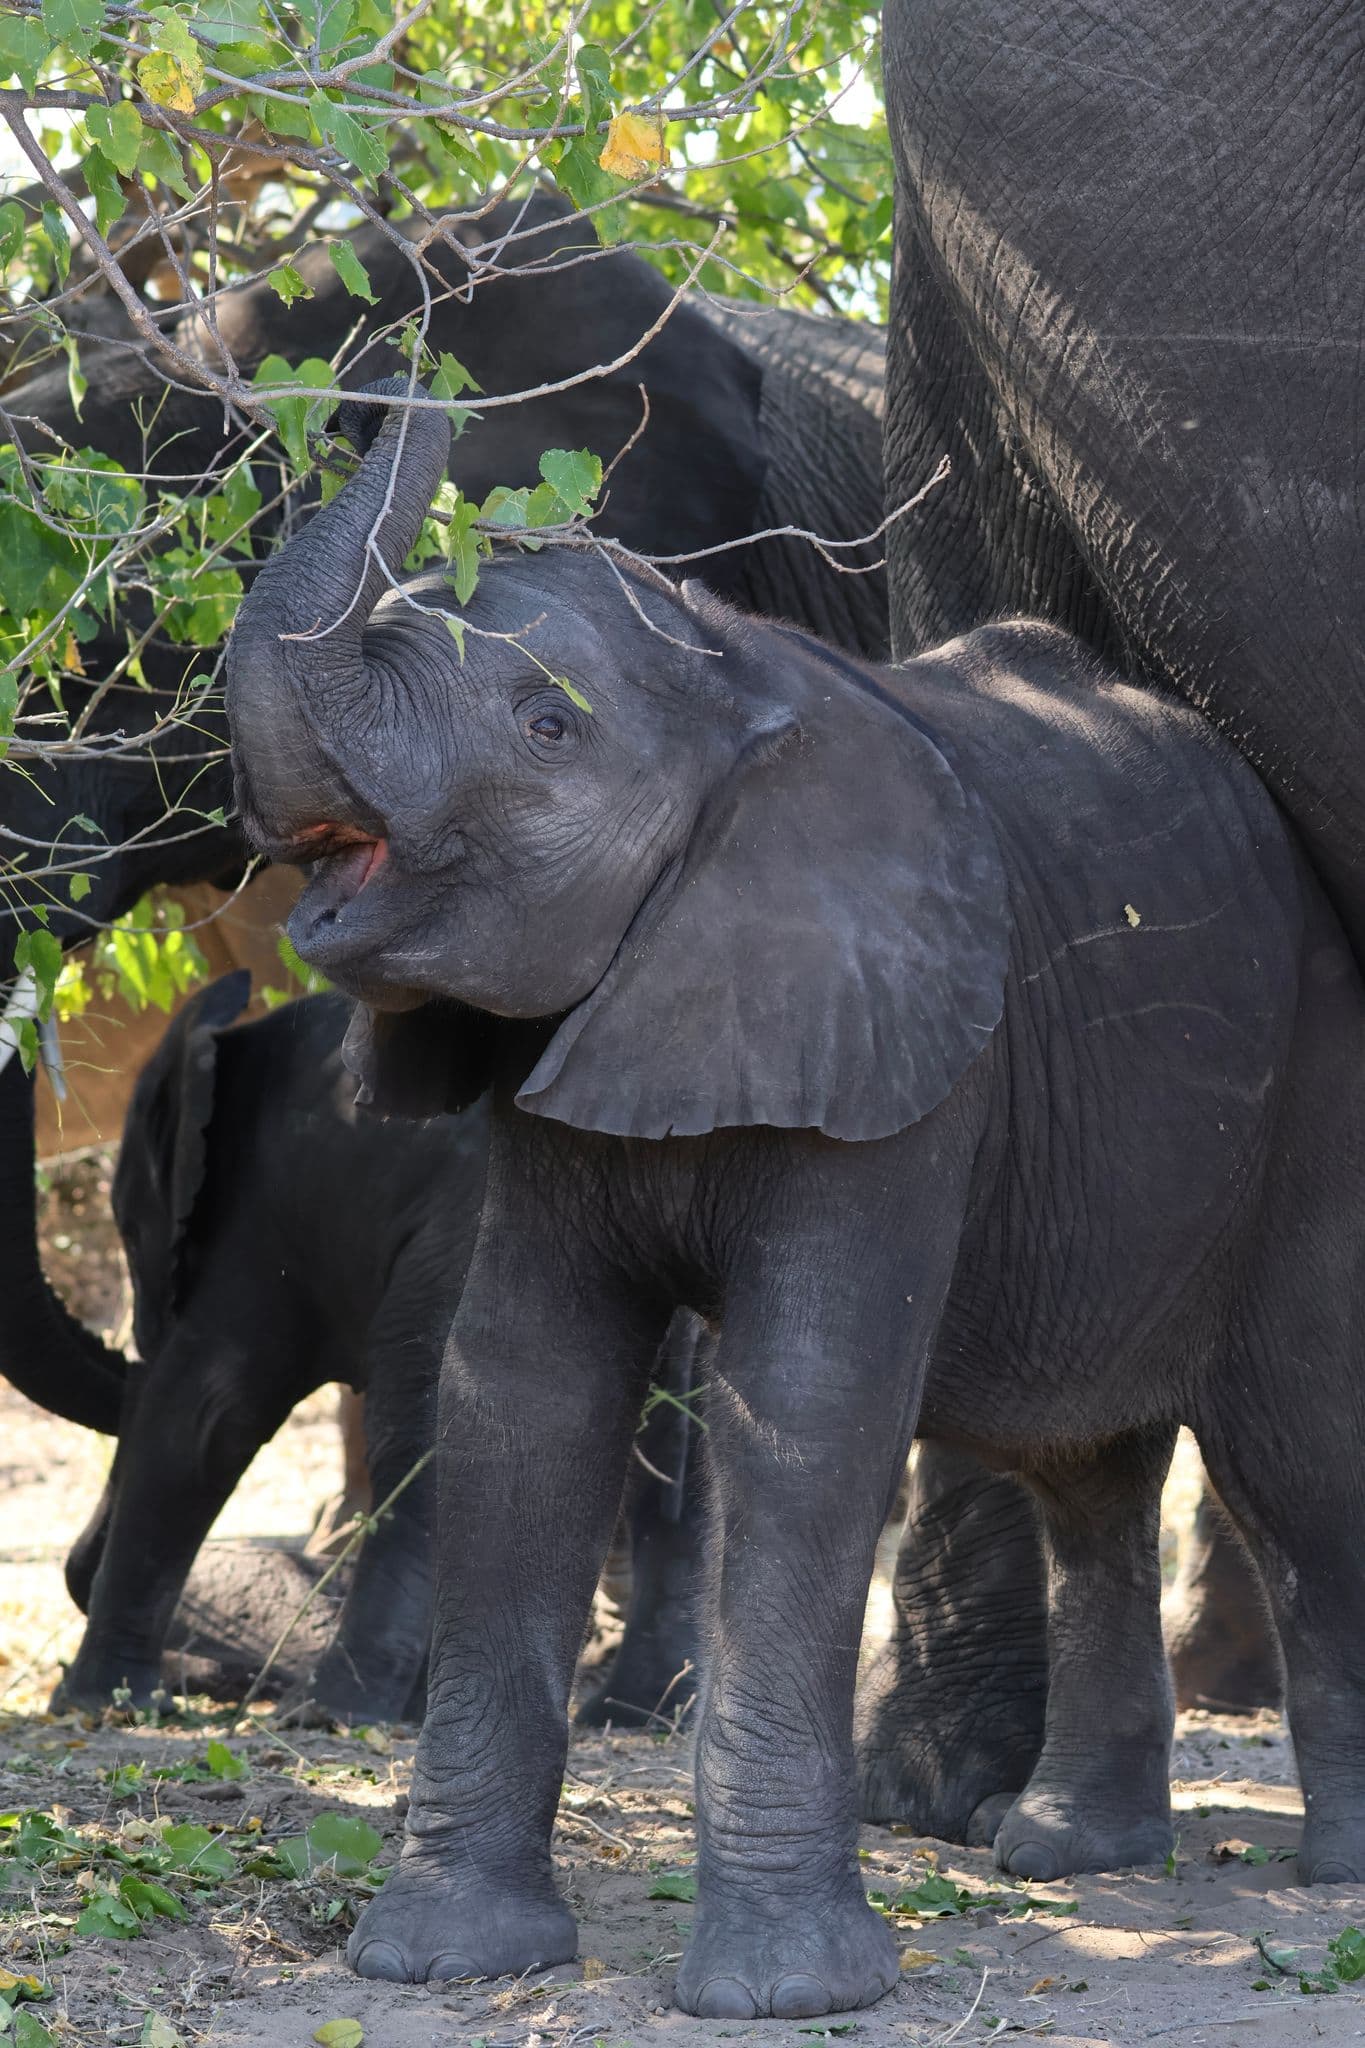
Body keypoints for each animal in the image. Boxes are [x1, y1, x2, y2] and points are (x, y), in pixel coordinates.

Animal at [57, 973, 704, 1728]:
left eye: (128, 1226)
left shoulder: (261, 1215)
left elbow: (206, 1413)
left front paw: (97, 1706)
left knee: (419, 1434)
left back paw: (329, 1712)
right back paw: (632, 1714)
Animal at [223, 386, 1365, 2018]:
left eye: (545, 727)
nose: (416, 388)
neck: (732, 678)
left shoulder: (906, 1052)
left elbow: (810, 1402)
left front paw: (785, 1996)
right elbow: (522, 1387)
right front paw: (438, 1961)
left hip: (1309, 1086)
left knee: (1289, 1451)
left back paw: (1327, 1874)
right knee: (1089, 1470)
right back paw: (1070, 1855)